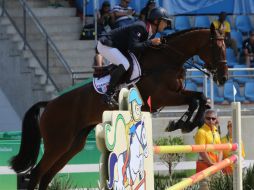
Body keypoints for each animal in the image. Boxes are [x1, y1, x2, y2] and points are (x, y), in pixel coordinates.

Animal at [10, 23, 228, 189]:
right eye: (217, 47)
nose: (223, 78)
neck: (167, 60)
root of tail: (49, 104)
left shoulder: (177, 93)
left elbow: (201, 98)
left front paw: (184, 123)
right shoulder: (162, 97)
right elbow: (196, 99)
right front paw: (183, 123)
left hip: (72, 145)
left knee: (47, 176)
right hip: (58, 143)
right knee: (37, 174)